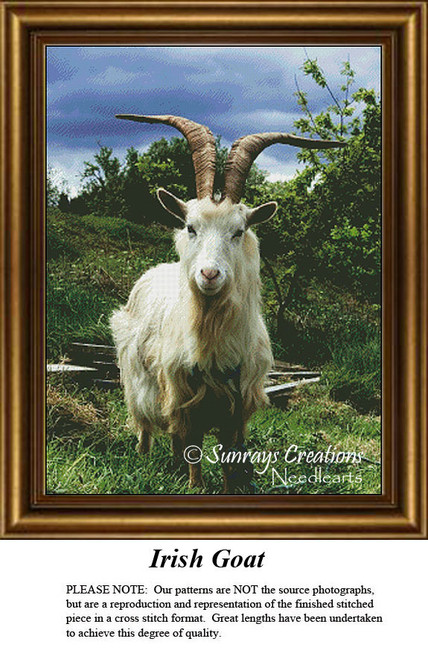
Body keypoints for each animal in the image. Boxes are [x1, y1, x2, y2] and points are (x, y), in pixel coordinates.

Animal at [111, 114, 344, 492]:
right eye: (190, 227)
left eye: (238, 231)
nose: (208, 274)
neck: (211, 334)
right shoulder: (185, 394)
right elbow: (193, 445)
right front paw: (194, 486)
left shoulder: (237, 402)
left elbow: (228, 453)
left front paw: (226, 487)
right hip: (136, 377)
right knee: (145, 423)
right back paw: (143, 458)